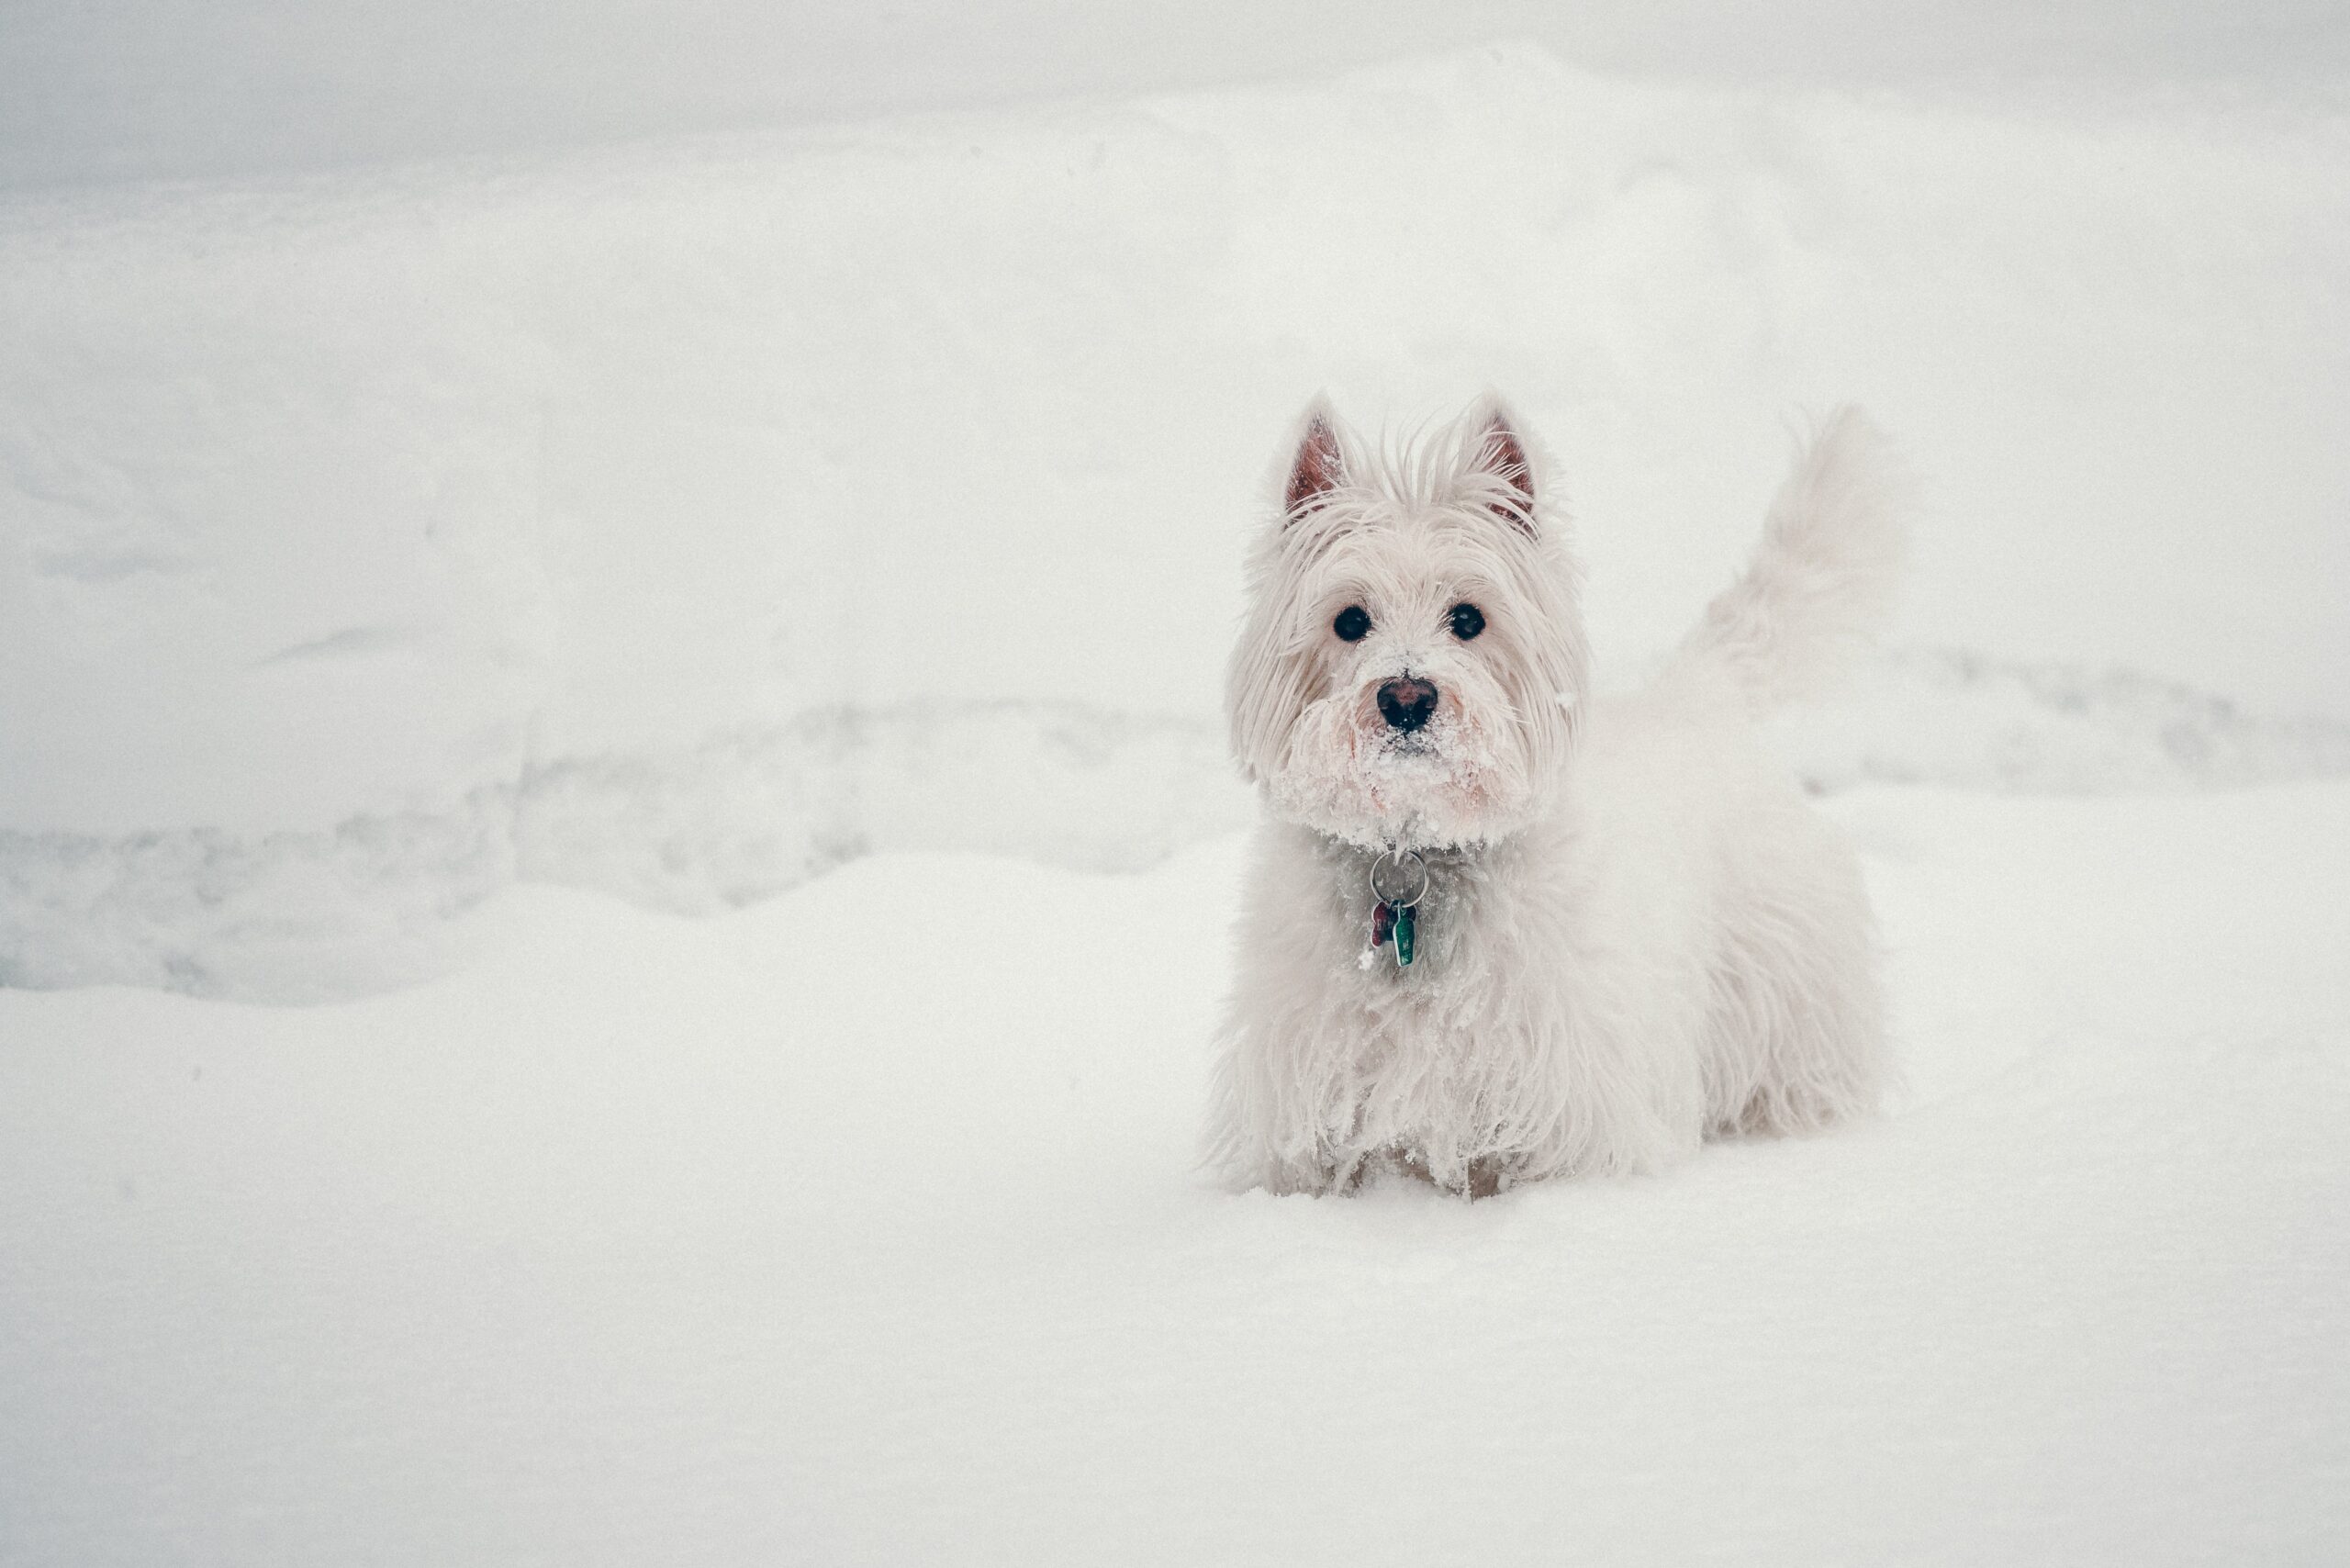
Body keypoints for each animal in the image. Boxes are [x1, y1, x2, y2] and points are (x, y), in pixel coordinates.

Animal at [1212, 399, 1908, 1193]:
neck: (1416, 857)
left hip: (1786, 978)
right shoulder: (1302, 1096)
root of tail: (1697, 695)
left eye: (1468, 617)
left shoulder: (1572, 1102)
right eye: (1350, 620)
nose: (1406, 698)